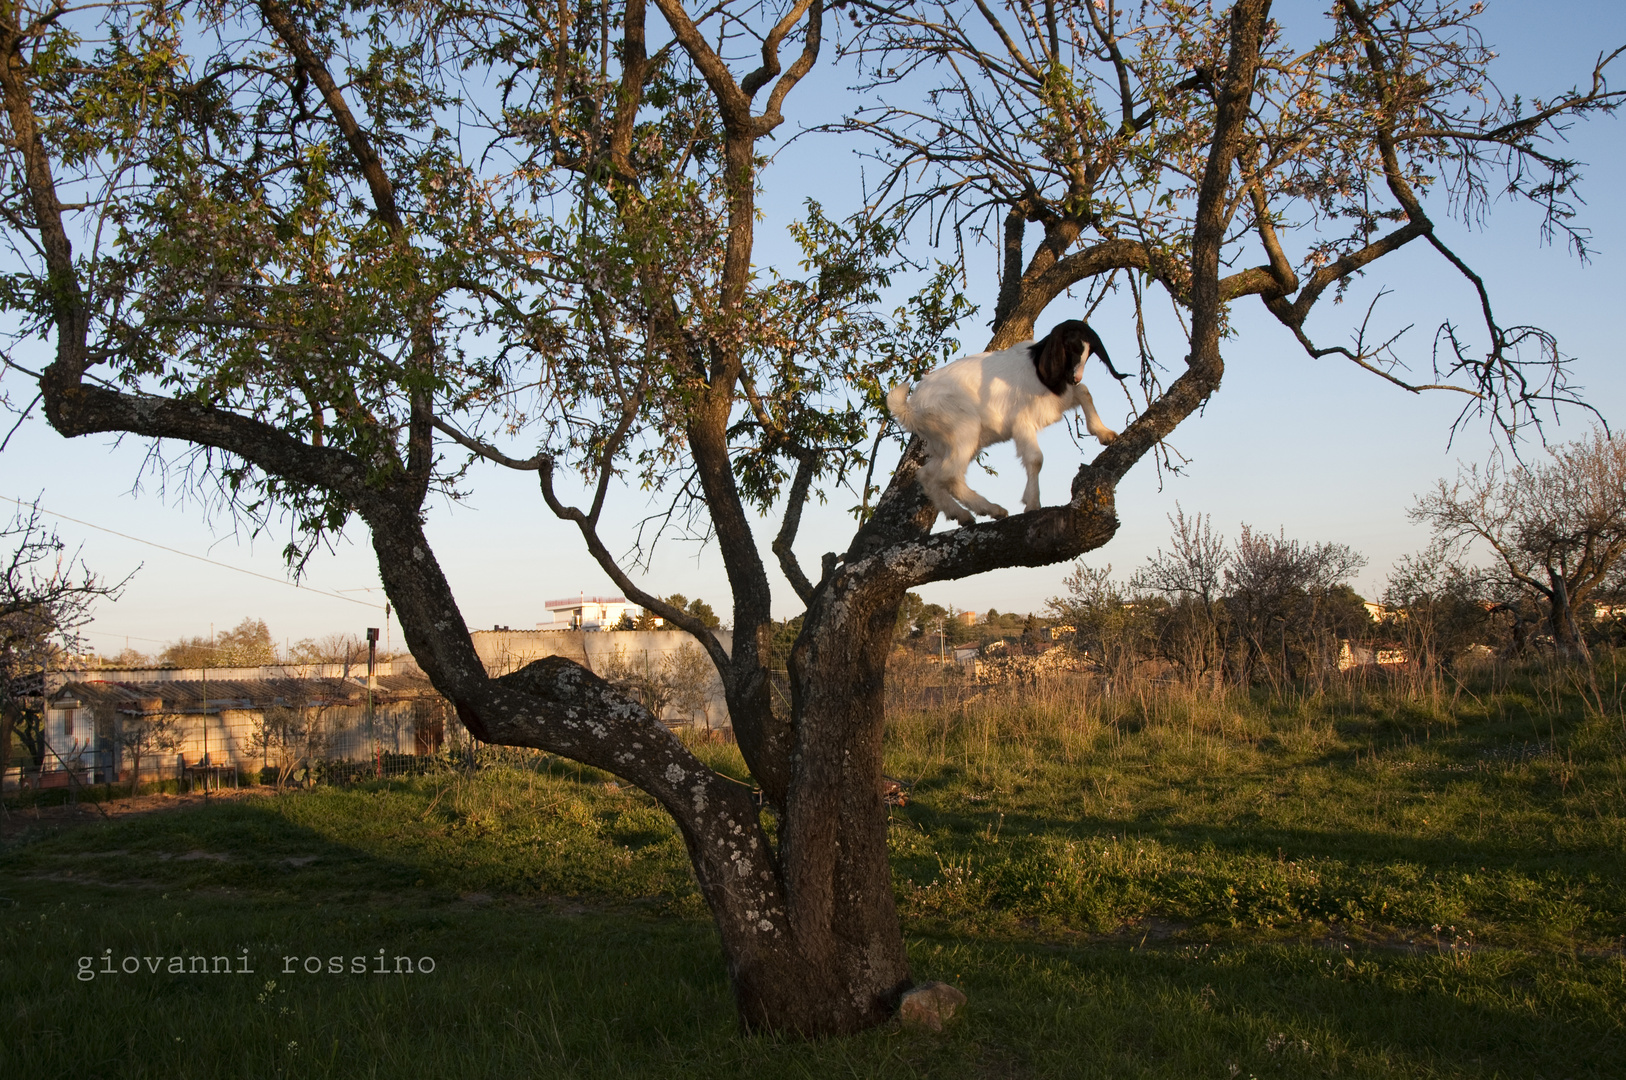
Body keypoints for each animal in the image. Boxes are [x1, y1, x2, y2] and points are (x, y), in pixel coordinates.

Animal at [891, 318, 1131, 523]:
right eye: (1070, 346)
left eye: (1090, 351)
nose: (1075, 377)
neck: (1037, 367)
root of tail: (912, 408)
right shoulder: (1023, 422)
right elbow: (1035, 459)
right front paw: (1032, 503)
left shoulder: (1058, 399)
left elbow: (1084, 392)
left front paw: (1104, 433)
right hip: (964, 429)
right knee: (950, 475)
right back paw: (990, 509)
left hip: (949, 443)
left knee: (928, 474)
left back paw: (961, 514)